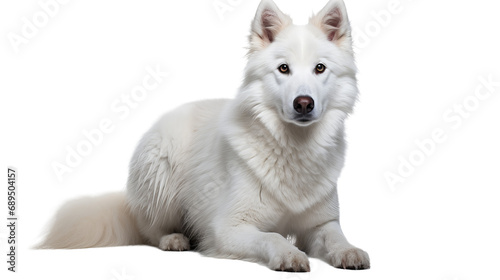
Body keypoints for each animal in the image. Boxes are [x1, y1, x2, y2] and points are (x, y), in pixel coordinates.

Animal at [40, 0, 372, 272]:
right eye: (283, 69)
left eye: (320, 68)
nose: (304, 103)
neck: (294, 146)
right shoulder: (229, 227)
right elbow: (274, 236)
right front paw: (288, 254)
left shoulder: (322, 223)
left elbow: (335, 237)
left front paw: (349, 251)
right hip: (162, 170)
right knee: (148, 227)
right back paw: (173, 238)